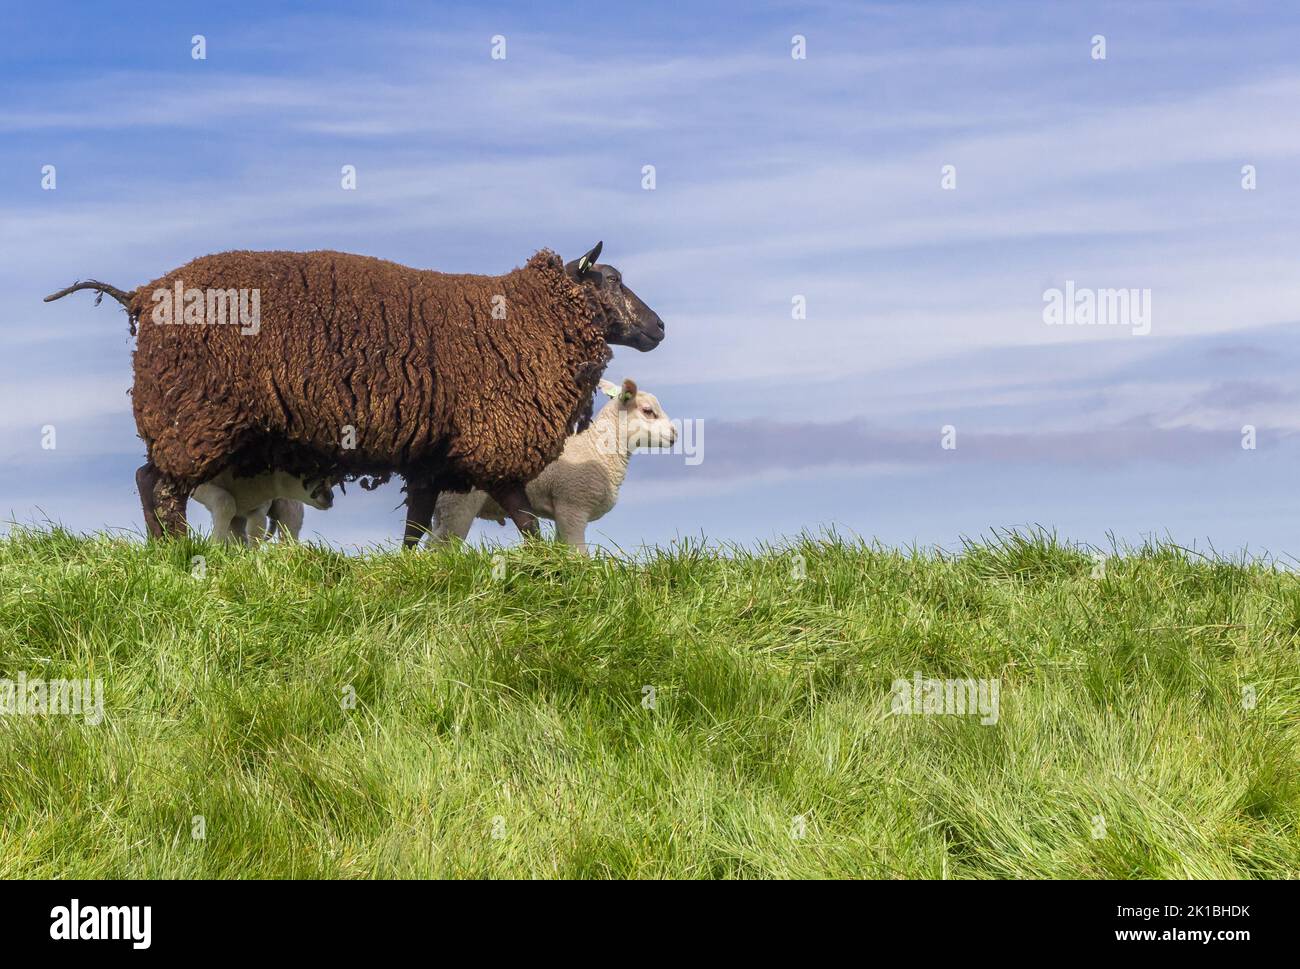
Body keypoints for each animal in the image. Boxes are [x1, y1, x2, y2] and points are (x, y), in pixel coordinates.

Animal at [193, 470, 338, 543]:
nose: (330, 497)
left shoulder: (259, 507)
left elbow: (255, 532)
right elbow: (225, 503)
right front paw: (215, 547)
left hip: (289, 506)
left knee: (289, 531)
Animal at [426, 377, 676, 551]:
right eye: (648, 411)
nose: (675, 434)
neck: (598, 448)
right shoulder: (572, 506)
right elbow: (578, 554)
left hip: (442, 506)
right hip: (459, 504)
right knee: (443, 548)